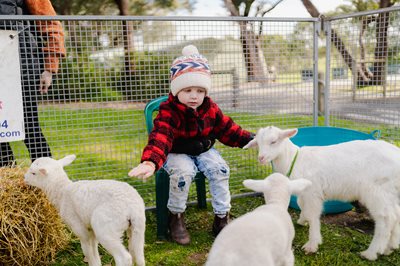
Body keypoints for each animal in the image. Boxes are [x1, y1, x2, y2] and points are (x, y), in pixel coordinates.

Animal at [244, 125, 400, 260]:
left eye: (274, 141)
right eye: (257, 143)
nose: (261, 158)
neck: (294, 160)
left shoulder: (312, 192)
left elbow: (313, 214)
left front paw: (312, 244)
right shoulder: (304, 192)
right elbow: (302, 206)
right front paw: (302, 220)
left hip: (378, 190)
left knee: (386, 219)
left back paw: (371, 252)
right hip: (391, 192)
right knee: (396, 215)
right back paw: (391, 247)